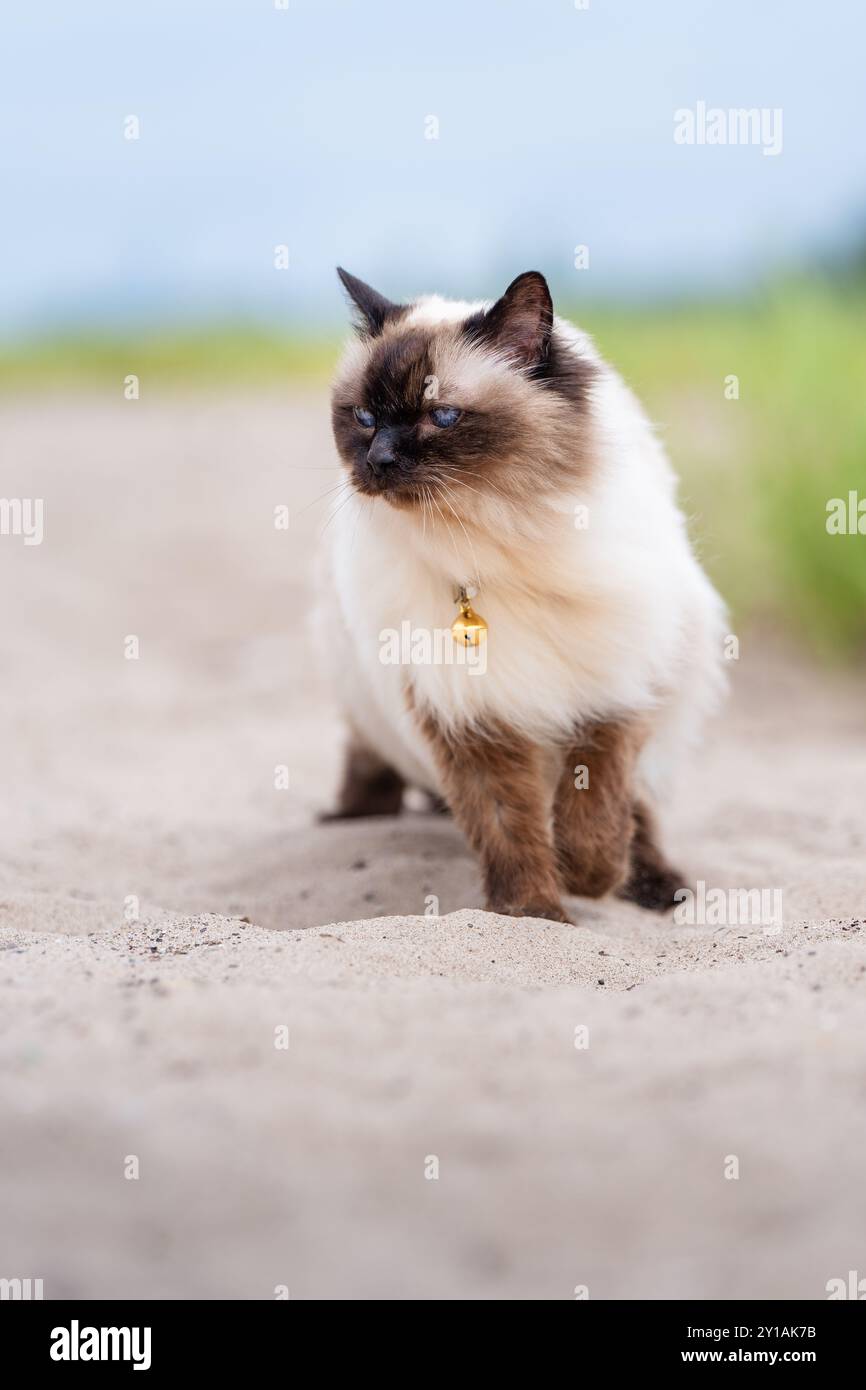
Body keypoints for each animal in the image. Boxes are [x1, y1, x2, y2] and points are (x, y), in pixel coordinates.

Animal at [316, 268, 722, 922]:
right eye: (364, 417)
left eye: (443, 415)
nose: (378, 460)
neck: (492, 543)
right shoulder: (471, 716)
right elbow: (510, 830)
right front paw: (535, 914)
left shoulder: (614, 691)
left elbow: (598, 811)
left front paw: (590, 879)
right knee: (366, 759)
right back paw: (347, 818)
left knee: (640, 809)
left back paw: (656, 886)